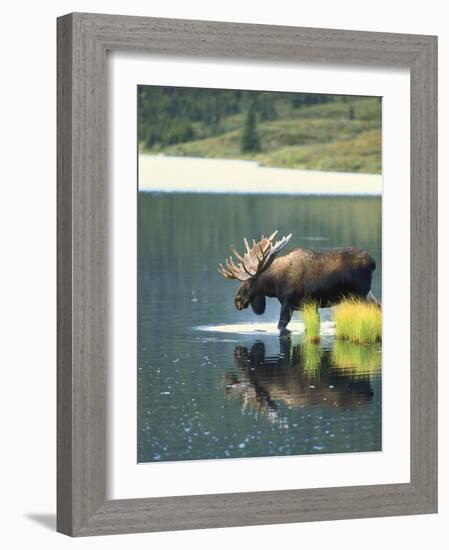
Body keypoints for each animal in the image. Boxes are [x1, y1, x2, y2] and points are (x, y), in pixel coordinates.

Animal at [219, 230, 380, 330]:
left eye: (248, 281)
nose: (237, 301)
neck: (274, 284)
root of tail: (373, 263)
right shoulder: (311, 306)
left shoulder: (288, 303)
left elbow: (280, 326)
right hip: (367, 294)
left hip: (361, 294)